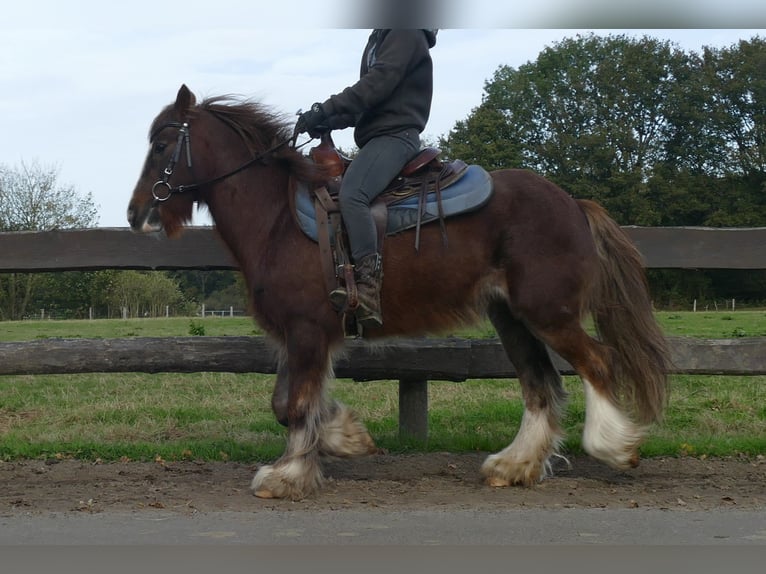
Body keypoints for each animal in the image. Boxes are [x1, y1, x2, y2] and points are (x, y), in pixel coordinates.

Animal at [129, 83, 668, 502]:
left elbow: (294, 404)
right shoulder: (300, 336)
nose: (137, 214)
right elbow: (291, 401)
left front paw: (289, 475)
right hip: (512, 317)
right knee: (540, 383)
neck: (277, 219)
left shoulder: (307, 331)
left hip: (548, 312)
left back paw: (613, 446)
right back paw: (515, 465)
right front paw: (345, 437)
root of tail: (574, 204)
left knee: (596, 362)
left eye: (162, 144)